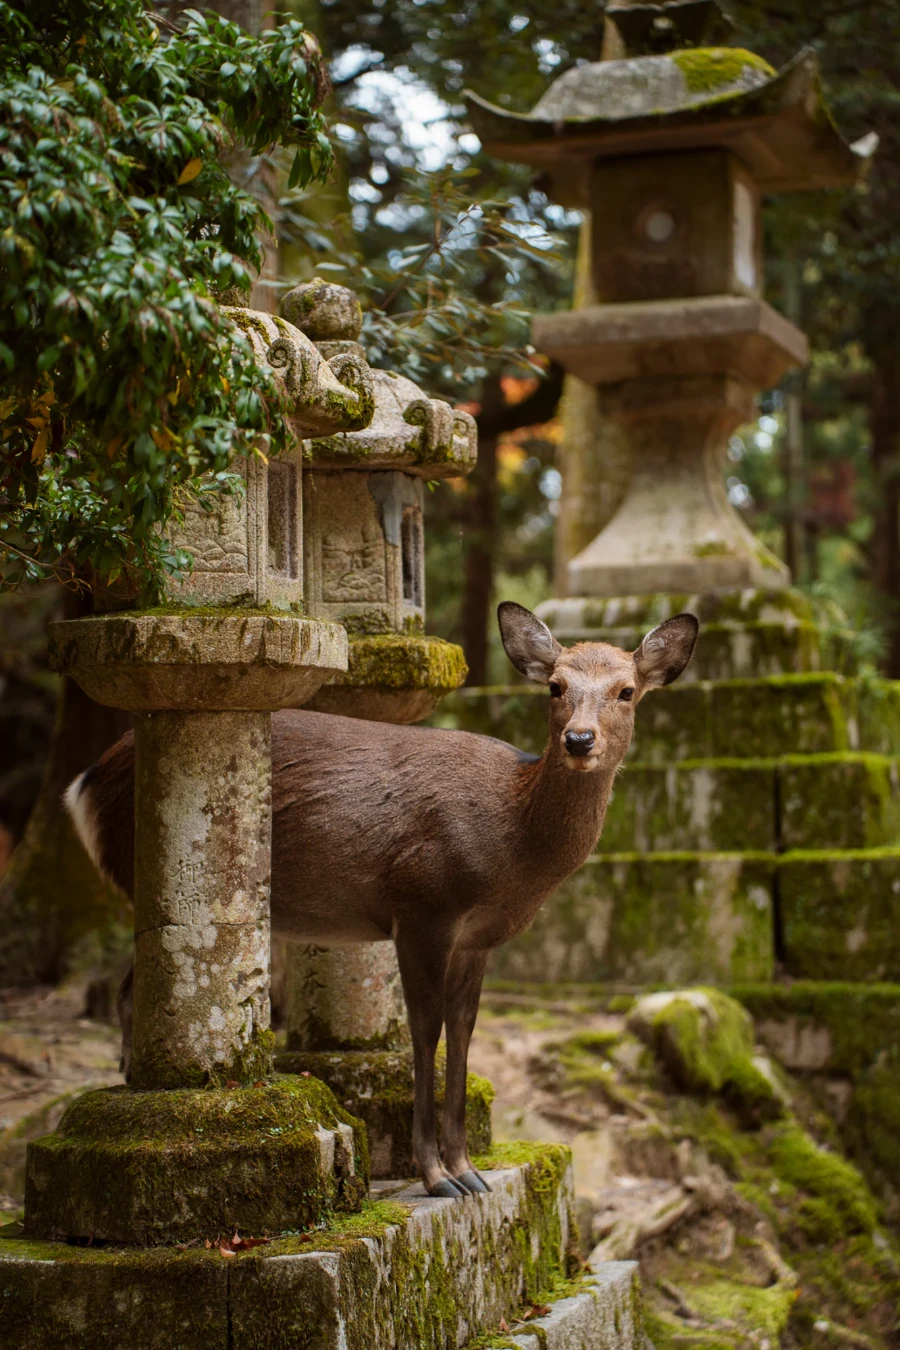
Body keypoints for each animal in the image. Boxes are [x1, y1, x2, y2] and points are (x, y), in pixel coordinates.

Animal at [65, 602, 698, 1199]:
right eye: (555, 687)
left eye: (627, 690)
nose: (579, 740)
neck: (510, 855)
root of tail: (83, 785)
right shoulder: (422, 904)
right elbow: (425, 1031)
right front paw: (437, 1177)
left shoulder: (479, 937)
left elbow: (464, 1030)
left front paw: (470, 1171)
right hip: (147, 869)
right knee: (135, 985)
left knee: (124, 989)